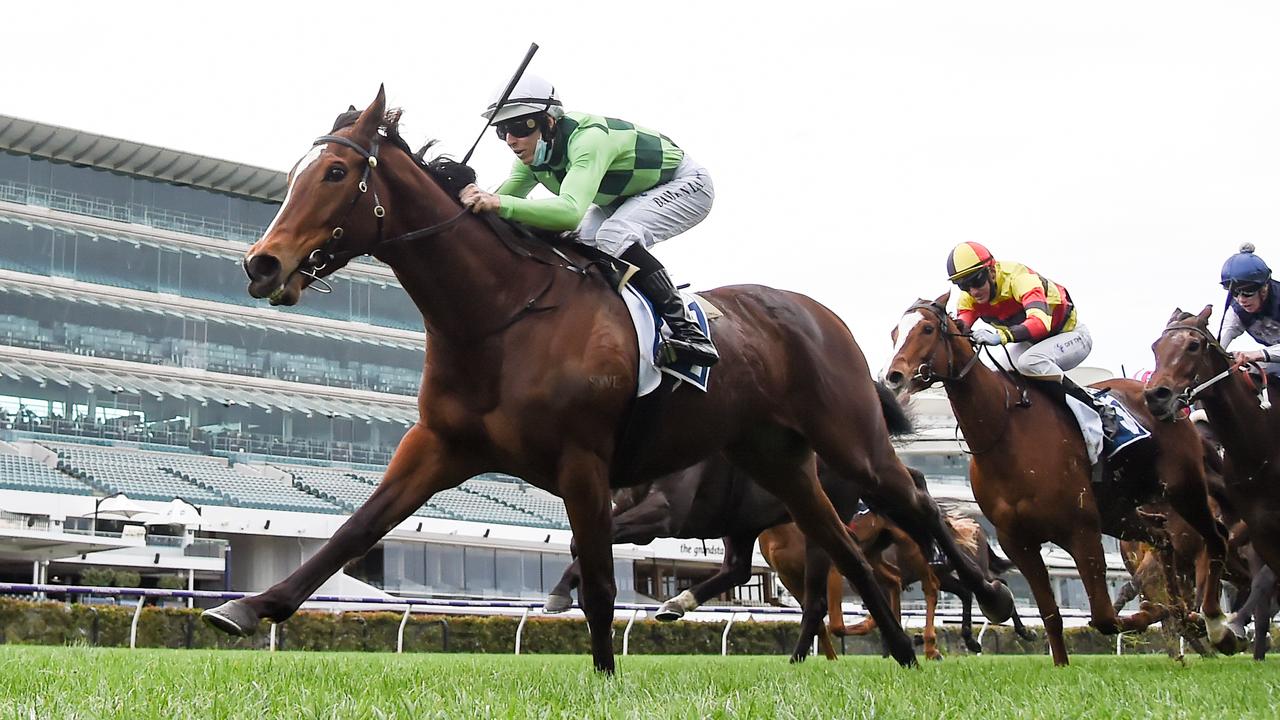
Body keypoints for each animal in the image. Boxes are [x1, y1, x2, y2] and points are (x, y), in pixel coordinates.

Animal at [197, 87, 1008, 671]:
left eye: (336, 173)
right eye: (298, 174)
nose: (261, 264)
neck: (499, 317)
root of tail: (820, 315)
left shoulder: (584, 460)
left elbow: (598, 580)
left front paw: (603, 674)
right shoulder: (439, 445)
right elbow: (356, 527)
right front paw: (247, 608)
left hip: (850, 441)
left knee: (917, 504)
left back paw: (994, 597)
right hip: (779, 461)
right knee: (841, 550)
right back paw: (900, 651)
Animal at [885, 292, 1233, 661]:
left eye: (926, 329)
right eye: (895, 332)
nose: (893, 376)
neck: (1004, 432)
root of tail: (1166, 398)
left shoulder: (1081, 530)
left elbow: (1104, 618)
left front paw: (1162, 614)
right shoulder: (1017, 541)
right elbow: (1051, 615)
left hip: (1183, 488)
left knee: (1216, 538)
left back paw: (1215, 625)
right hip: (1118, 513)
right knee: (1162, 537)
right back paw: (1186, 612)